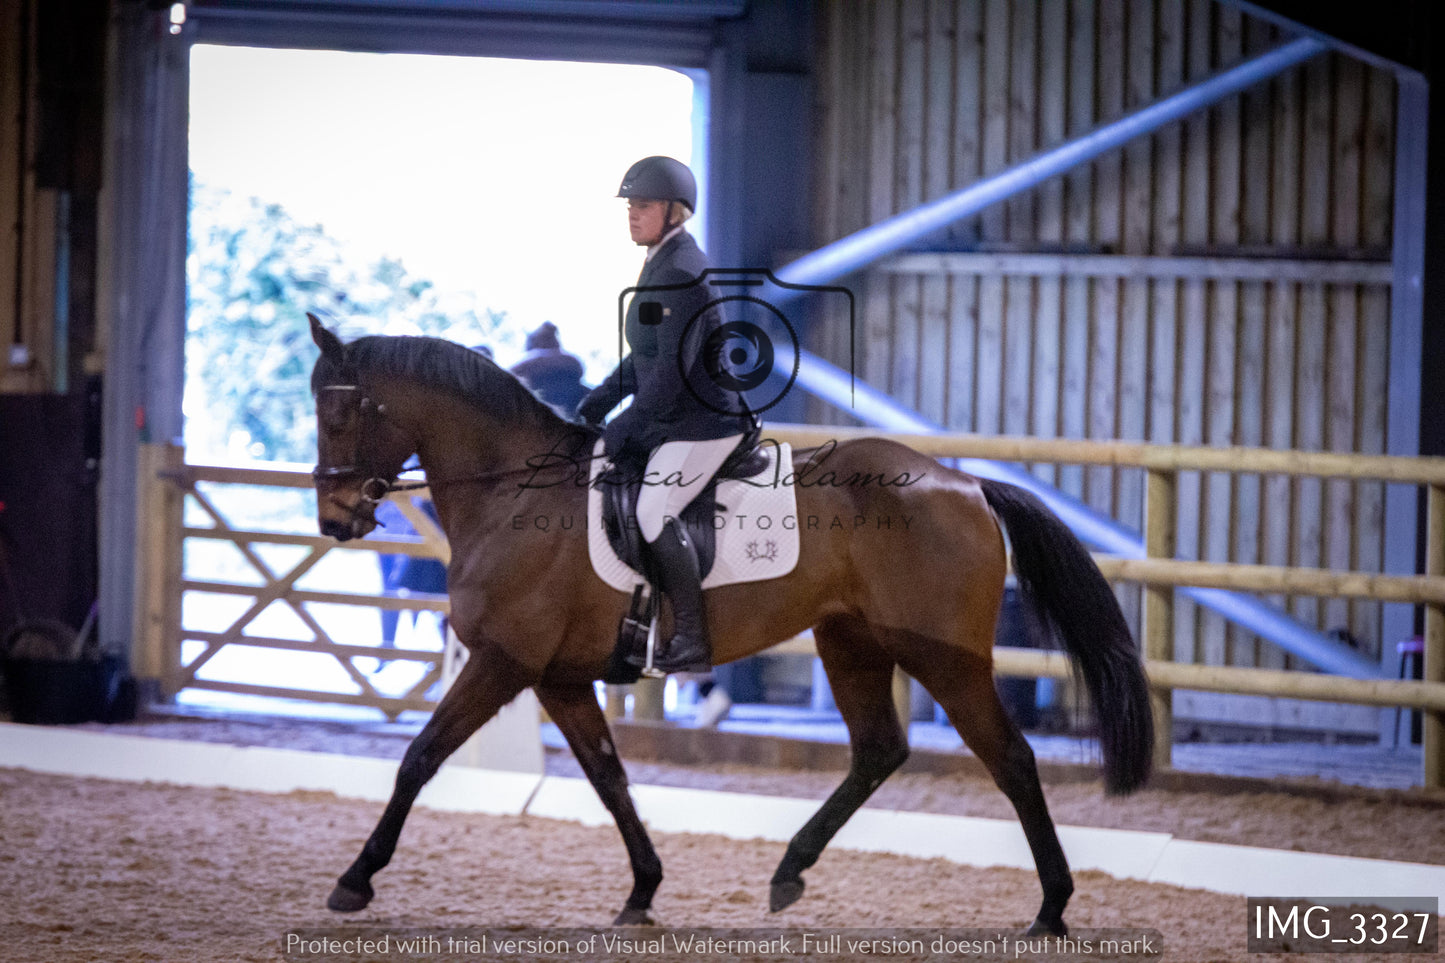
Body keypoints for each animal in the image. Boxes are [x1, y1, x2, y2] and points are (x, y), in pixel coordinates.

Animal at [302, 315, 1150, 931]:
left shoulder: (502, 662)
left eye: (339, 412)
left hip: (944, 657)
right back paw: (788, 872)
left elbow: (420, 757)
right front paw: (642, 891)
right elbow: (608, 777)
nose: (336, 519)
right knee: (878, 750)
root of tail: (963, 482)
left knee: (1011, 760)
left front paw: (354, 880)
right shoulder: (559, 678)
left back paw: (1050, 909)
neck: (511, 491)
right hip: (850, 642)